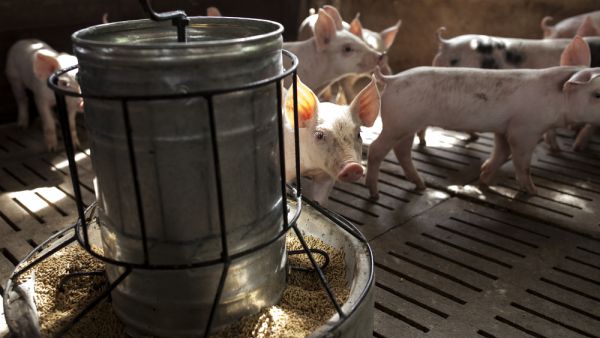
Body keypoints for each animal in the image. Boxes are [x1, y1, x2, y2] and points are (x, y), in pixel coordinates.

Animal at [366, 35, 596, 197]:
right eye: (597, 94)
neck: (557, 99)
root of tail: (392, 79)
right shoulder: (525, 129)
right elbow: (523, 163)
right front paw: (533, 192)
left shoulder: (505, 128)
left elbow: (502, 152)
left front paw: (484, 179)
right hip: (397, 123)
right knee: (376, 149)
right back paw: (375, 194)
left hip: (407, 125)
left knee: (402, 151)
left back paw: (421, 185)